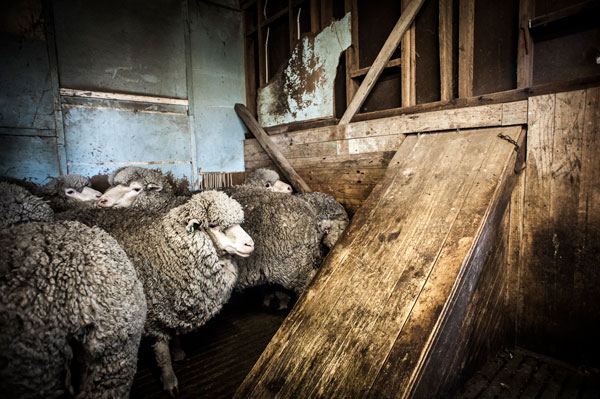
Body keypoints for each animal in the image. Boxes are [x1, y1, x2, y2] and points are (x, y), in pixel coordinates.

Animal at [56, 191, 253, 396]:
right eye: (214, 226)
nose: (250, 244)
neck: (166, 251)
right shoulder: (155, 318)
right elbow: (162, 353)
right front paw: (169, 380)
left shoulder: (175, 309)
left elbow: (175, 333)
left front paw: (178, 352)